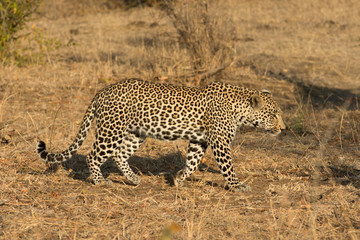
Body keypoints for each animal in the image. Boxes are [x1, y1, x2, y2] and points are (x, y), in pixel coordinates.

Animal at [35, 78, 284, 191]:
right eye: (273, 115)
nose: (283, 128)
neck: (239, 108)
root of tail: (102, 91)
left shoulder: (199, 140)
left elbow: (193, 162)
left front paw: (179, 179)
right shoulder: (220, 142)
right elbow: (228, 167)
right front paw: (237, 185)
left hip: (136, 133)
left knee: (119, 155)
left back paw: (133, 179)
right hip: (111, 130)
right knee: (93, 156)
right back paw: (100, 181)